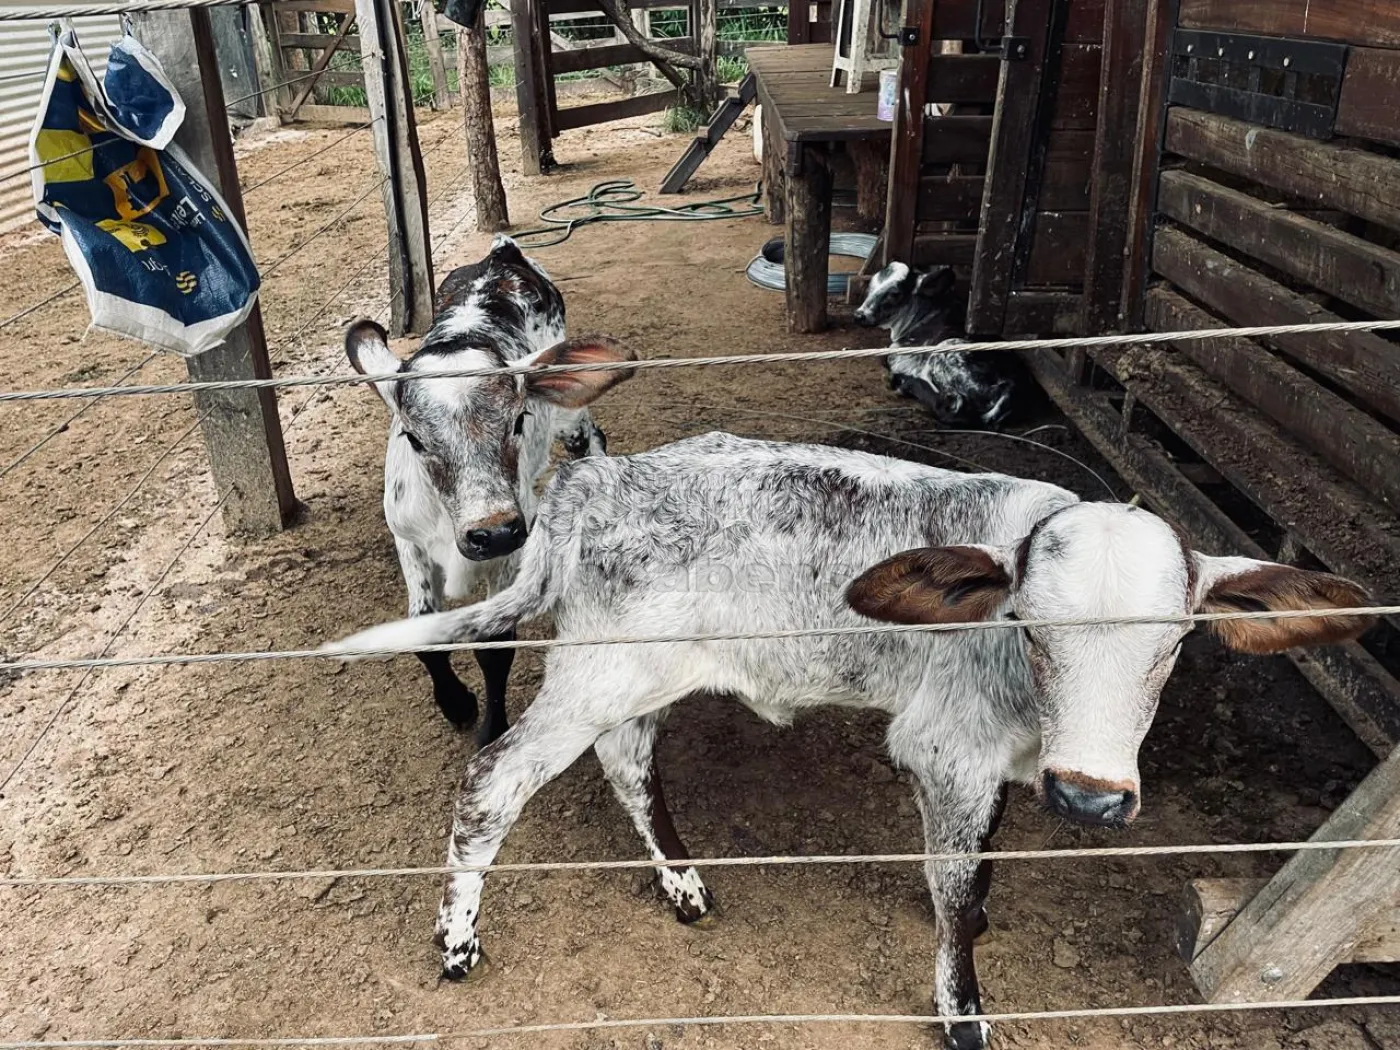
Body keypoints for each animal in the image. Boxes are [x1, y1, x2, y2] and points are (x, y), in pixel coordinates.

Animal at [333, 431, 1372, 1047]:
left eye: (1175, 643)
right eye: (1031, 628)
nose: (1088, 796)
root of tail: (592, 477)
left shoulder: (994, 766)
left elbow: (982, 863)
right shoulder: (945, 750)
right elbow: (953, 887)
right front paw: (963, 1011)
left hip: (633, 675)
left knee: (627, 765)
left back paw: (683, 883)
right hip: (593, 678)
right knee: (493, 780)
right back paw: (457, 940)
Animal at [347, 238, 638, 750]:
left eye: (518, 420)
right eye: (414, 438)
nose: (493, 531)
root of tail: (501, 252)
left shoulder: (510, 548)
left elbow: (494, 646)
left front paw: (490, 730)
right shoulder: (408, 538)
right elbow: (423, 633)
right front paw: (456, 704)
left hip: (569, 418)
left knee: (592, 439)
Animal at [845, 264, 1036, 428]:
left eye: (894, 294)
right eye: (870, 286)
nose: (859, 315)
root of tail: (1014, 387)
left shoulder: (898, 354)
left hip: (947, 351)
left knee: (953, 406)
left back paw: (905, 382)